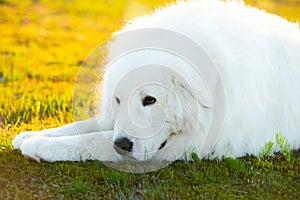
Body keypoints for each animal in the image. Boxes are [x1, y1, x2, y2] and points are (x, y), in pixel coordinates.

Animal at [11, 0, 300, 165]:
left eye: (150, 100)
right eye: (118, 100)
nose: (122, 144)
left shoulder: (195, 143)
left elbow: (93, 141)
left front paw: (39, 146)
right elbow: (83, 127)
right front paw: (31, 134)